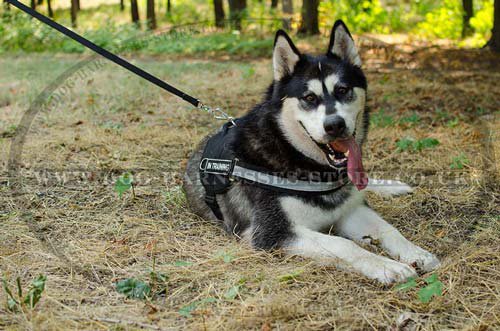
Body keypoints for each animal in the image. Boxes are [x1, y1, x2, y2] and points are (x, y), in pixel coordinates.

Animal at [183, 20, 438, 286]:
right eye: (309, 97)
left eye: (343, 90)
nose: (334, 125)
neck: (300, 159)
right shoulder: (272, 232)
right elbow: (345, 245)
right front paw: (389, 266)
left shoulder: (351, 211)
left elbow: (388, 229)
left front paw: (416, 252)